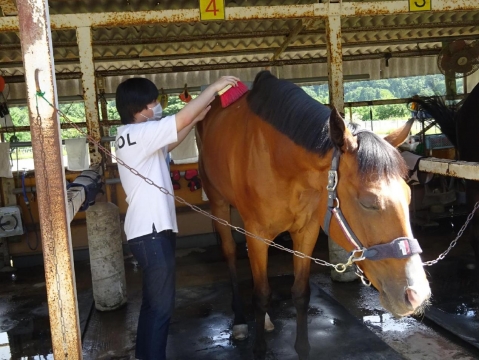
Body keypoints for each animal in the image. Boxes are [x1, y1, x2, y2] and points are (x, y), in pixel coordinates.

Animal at [197, 71, 434, 360]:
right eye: (368, 202)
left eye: (408, 196)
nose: (417, 295)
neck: (277, 157)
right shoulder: (257, 235)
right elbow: (261, 294)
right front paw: (259, 348)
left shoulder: (306, 232)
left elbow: (300, 293)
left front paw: (302, 347)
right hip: (219, 204)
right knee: (230, 253)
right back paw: (241, 320)